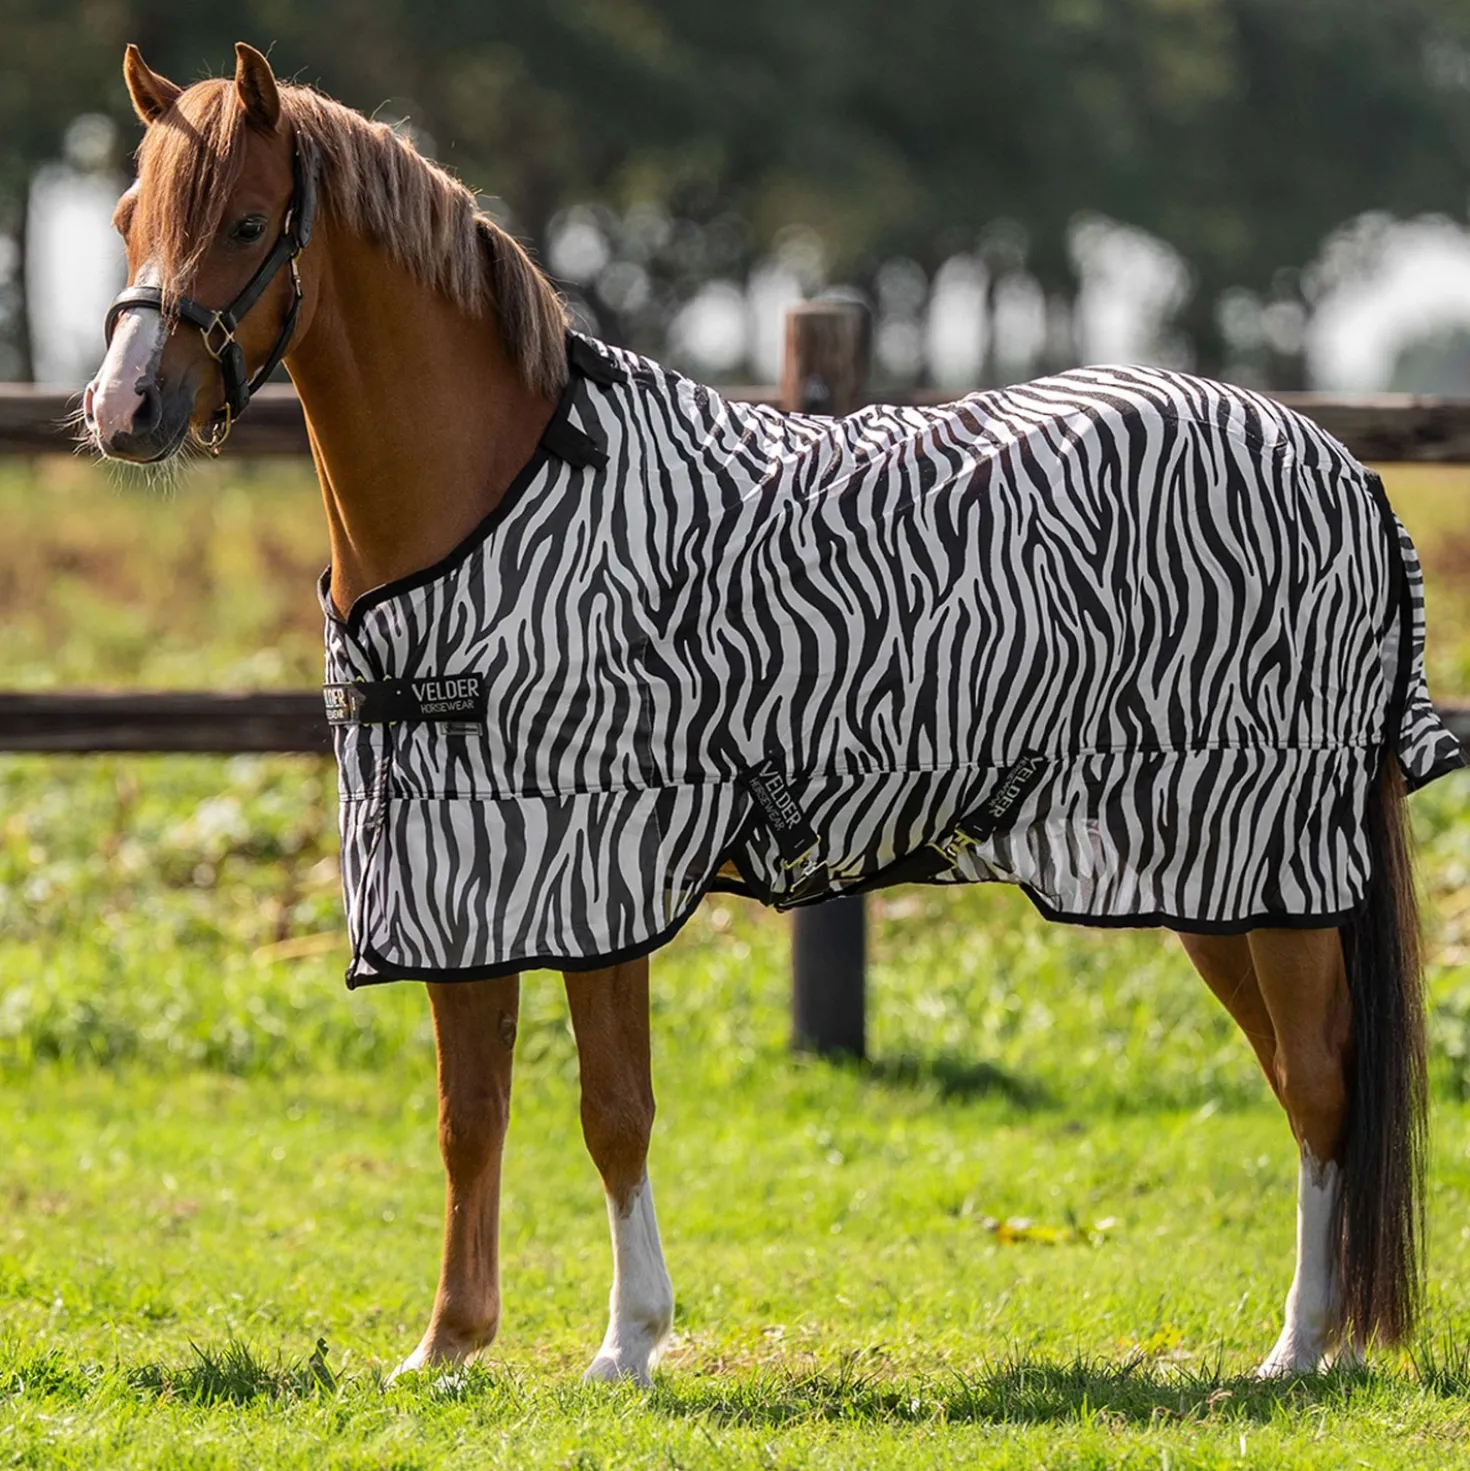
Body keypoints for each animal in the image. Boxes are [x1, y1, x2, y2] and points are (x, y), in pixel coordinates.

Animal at [85, 42, 1462, 1383]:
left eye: (247, 220)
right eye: (124, 218)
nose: (121, 411)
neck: (503, 501)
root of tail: (1339, 463)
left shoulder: (598, 855)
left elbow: (613, 1109)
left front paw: (627, 1345)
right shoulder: (461, 867)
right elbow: (468, 1115)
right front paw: (448, 1347)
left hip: (1257, 853)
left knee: (1321, 1082)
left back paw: (1300, 1348)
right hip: (1208, 876)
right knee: (1305, 1078)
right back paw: (1329, 1336)